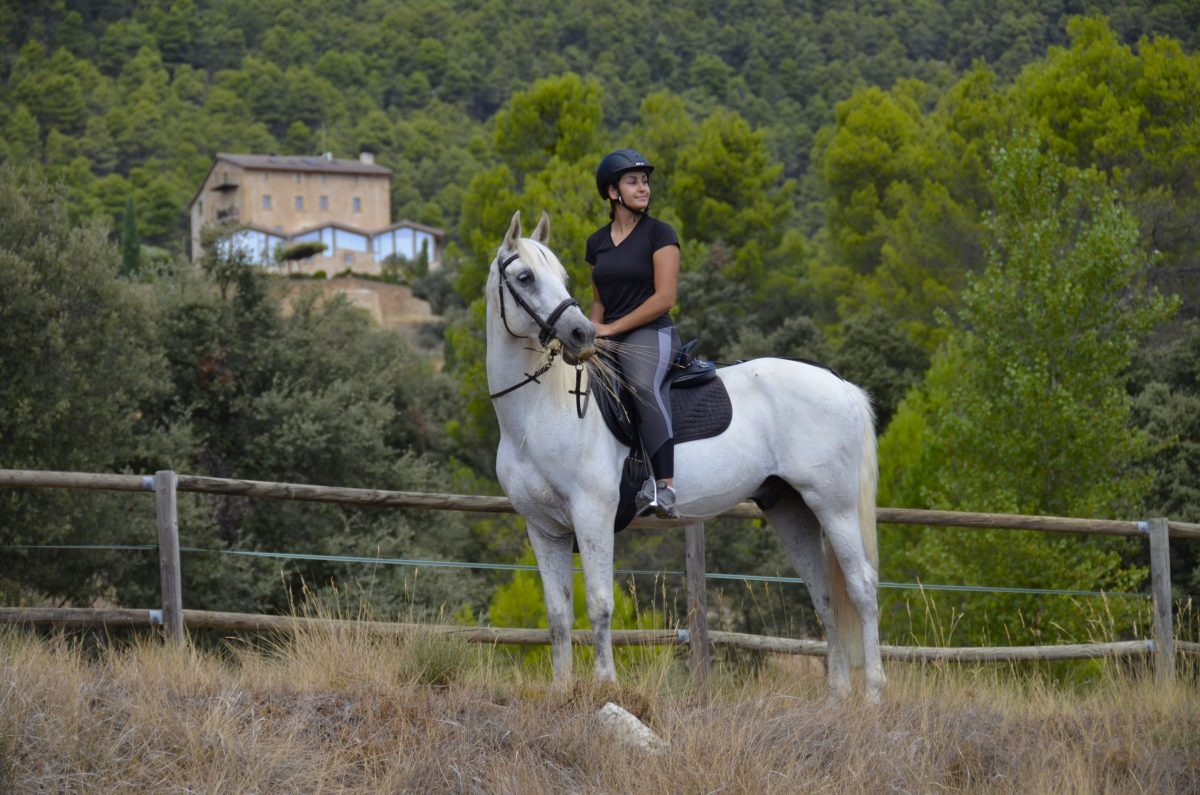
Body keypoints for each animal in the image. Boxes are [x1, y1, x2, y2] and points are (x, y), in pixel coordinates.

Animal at [482, 211, 888, 706]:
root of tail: (841, 385)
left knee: (862, 589)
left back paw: (873, 695)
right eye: (525, 277)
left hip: (835, 506)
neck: (540, 411)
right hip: (792, 510)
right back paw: (836, 697)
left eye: (560, 277)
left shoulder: (592, 514)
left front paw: (606, 686)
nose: (583, 334)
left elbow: (599, 604)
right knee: (825, 597)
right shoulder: (543, 528)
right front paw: (562, 691)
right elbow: (558, 615)